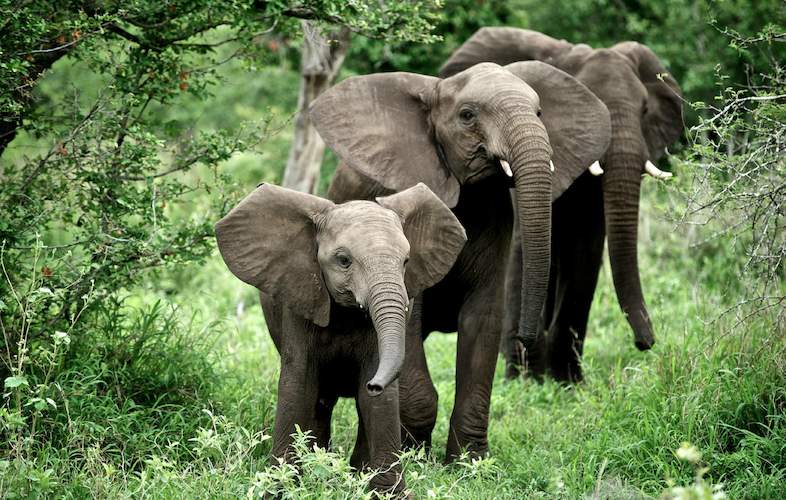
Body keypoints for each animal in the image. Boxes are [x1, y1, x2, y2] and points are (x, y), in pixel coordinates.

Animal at [214, 183, 466, 493]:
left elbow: (377, 401)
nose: (374, 384)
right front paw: (280, 488)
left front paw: (387, 493)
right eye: (343, 261)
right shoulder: (300, 299)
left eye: (406, 261)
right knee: (322, 399)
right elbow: (299, 385)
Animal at [309, 61, 611, 459]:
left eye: (540, 113)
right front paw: (415, 454)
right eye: (468, 116)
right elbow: (409, 320)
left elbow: (482, 319)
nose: (527, 337)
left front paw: (469, 461)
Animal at [441, 28, 684, 382]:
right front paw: (526, 380)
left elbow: (586, 247)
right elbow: (523, 246)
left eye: (644, 111)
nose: (646, 343)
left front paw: (569, 382)